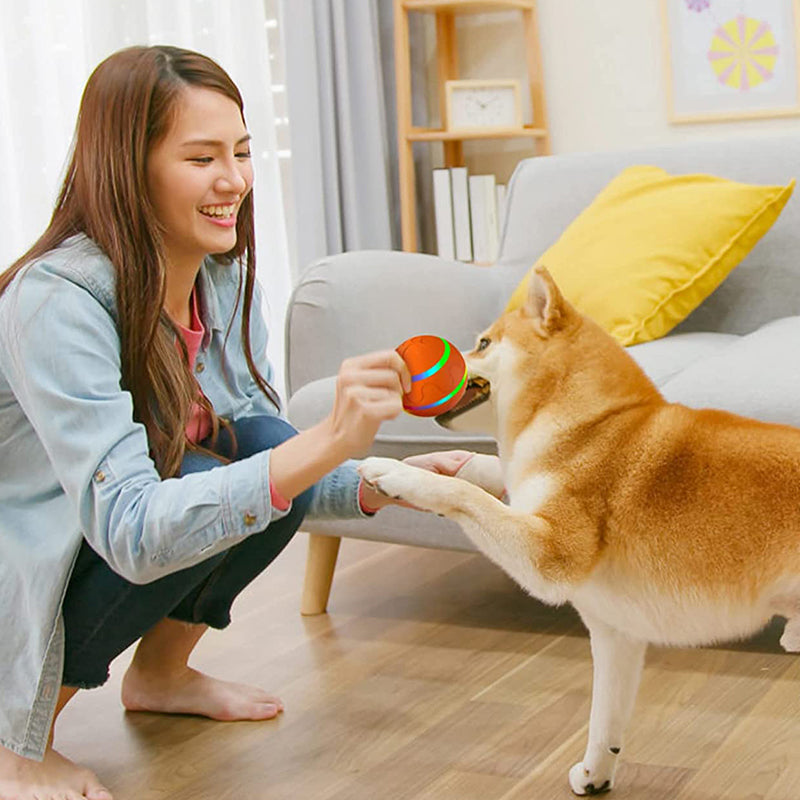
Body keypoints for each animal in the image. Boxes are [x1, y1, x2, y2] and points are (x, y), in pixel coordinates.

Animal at [360, 268, 800, 792]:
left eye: (483, 343)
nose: (417, 370)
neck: (588, 425)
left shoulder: (548, 557)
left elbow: (467, 496)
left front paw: (397, 472)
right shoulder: (615, 634)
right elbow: (605, 720)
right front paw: (596, 774)